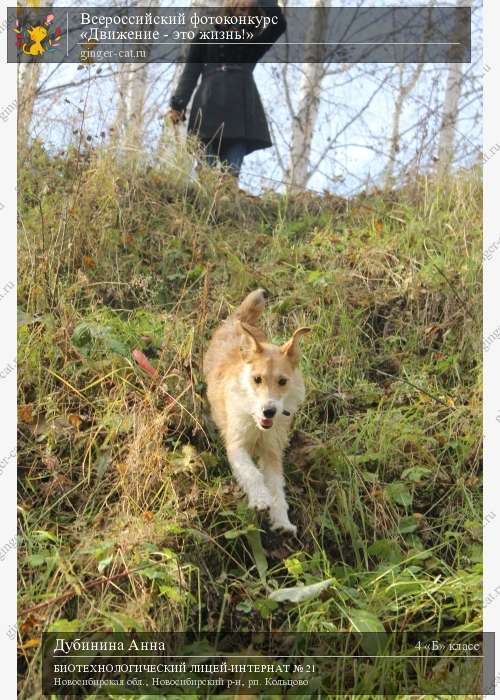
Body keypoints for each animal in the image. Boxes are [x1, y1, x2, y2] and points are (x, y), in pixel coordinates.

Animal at [203, 288, 308, 532]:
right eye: (257, 379)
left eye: (282, 381)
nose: (269, 411)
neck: (256, 423)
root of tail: (238, 320)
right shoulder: (236, 445)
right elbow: (252, 474)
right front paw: (260, 498)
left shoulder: (272, 451)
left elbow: (277, 487)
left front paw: (282, 521)